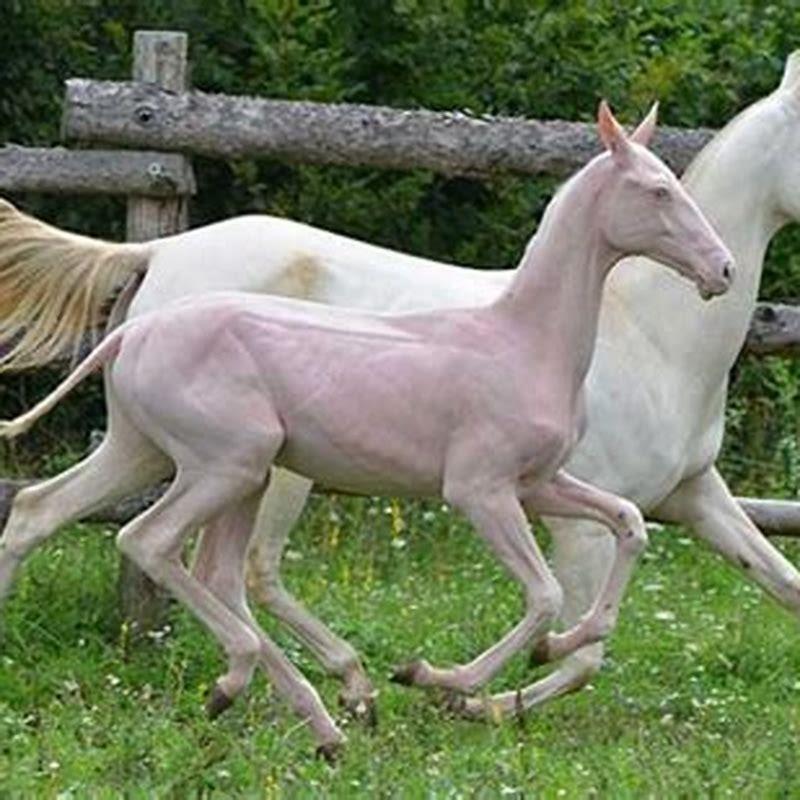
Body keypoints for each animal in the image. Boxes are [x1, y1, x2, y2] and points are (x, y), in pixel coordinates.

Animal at [0, 103, 732, 757]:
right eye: (659, 190)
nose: (722, 269)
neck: (524, 340)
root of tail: (132, 328)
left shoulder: (540, 482)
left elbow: (629, 524)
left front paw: (557, 646)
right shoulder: (480, 490)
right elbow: (544, 594)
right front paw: (435, 678)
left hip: (158, 455)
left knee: (56, 514)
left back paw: (323, 724)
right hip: (226, 466)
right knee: (150, 542)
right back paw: (249, 684)